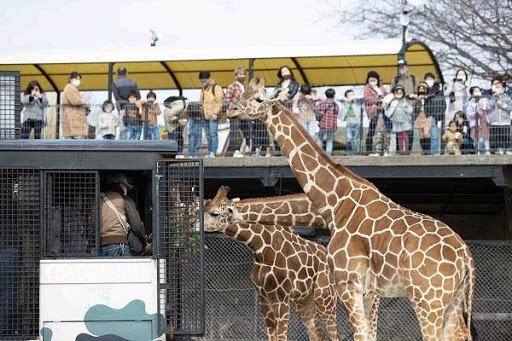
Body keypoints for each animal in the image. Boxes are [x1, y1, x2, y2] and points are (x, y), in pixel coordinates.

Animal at [203, 186, 340, 340]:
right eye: (204, 206)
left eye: (215, 213)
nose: (197, 224)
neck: (262, 249)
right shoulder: (264, 298)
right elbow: (272, 335)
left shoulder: (282, 298)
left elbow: (281, 336)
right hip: (305, 301)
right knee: (317, 334)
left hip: (325, 296)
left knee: (334, 334)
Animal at [228, 77, 476, 340]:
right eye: (244, 94)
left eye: (258, 99)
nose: (231, 109)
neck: (336, 203)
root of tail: (465, 255)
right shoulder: (366, 292)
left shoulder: (348, 284)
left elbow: (360, 335)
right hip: (452, 299)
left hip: (428, 299)